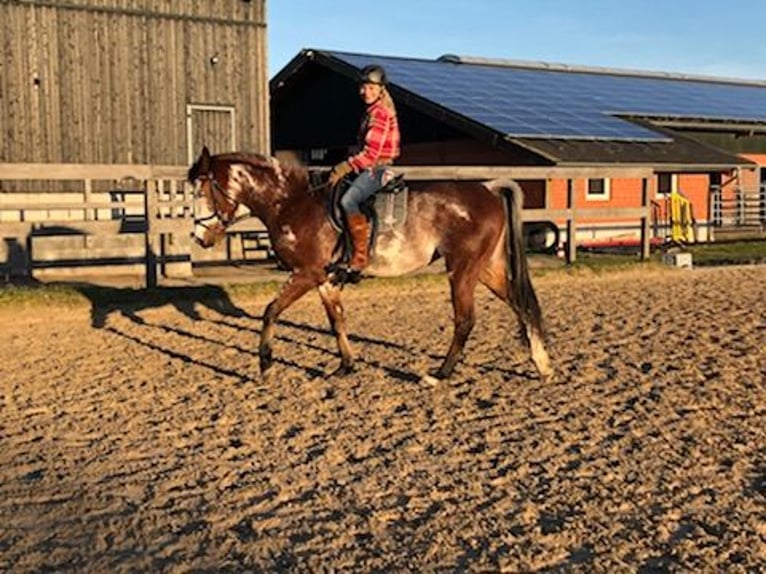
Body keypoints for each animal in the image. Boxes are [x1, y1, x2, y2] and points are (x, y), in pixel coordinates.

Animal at [188, 146, 553, 381]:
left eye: (201, 192)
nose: (199, 238)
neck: (292, 203)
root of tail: (488, 188)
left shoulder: (306, 273)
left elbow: (270, 311)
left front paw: (265, 365)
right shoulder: (326, 279)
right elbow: (336, 321)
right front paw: (346, 366)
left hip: (462, 269)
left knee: (465, 320)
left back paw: (441, 374)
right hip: (487, 269)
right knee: (520, 304)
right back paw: (542, 365)